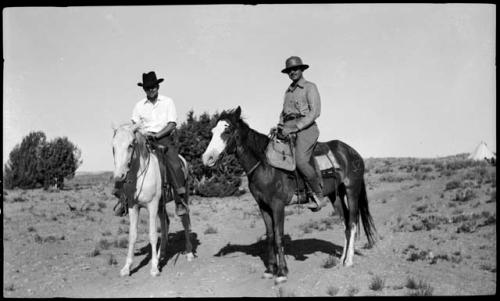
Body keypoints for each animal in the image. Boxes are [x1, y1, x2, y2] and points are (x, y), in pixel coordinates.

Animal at [112, 122, 193, 276]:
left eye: (130, 145)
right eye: (113, 147)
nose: (119, 176)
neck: (140, 175)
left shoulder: (152, 205)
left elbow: (153, 234)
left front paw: (154, 268)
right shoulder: (133, 207)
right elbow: (132, 236)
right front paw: (127, 267)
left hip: (182, 198)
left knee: (185, 221)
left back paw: (189, 253)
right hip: (161, 205)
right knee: (165, 223)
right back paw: (162, 254)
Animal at [201, 106, 376, 282]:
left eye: (227, 130)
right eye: (213, 131)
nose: (207, 158)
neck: (265, 165)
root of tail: (353, 153)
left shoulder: (278, 205)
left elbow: (279, 237)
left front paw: (282, 272)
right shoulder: (263, 206)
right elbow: (270, 236)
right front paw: (270, 269)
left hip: (352, 190)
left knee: (352, 223)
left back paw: (349, 261)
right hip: (336, 195)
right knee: (345, 224)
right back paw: (341, 259)